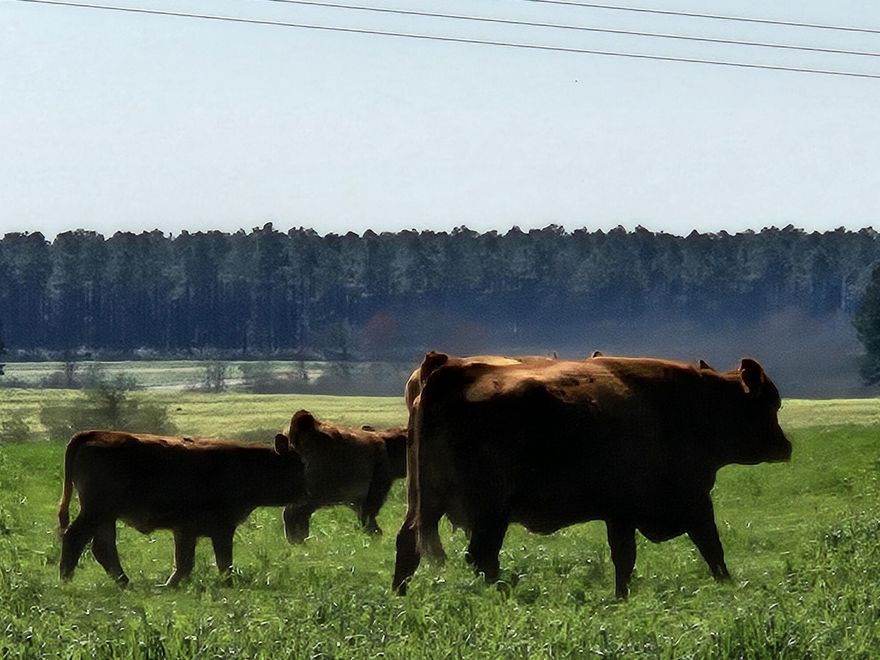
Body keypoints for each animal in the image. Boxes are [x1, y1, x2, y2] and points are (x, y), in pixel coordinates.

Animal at [57, 430, 306, 587]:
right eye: (298, 466)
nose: (305, 492)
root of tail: (93, 434)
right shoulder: (221, 528)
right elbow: (222, 560)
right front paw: (228, 583)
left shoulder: (186, 530)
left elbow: (185, 561)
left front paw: (170, 584)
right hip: (96, 512)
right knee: (75, 537)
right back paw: (66, 578)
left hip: (105, 517)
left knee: (102, 547)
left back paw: (124, 582)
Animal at [392, 354, 792, 598]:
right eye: (769, 403)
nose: (785, 446)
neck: (695, 405)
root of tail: (447, 372)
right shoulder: (693, 502)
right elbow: (711, 547)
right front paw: (728, 586)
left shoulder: (620, 515)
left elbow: (624, 559)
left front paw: (621, 597)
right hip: (490, 511)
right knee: (481, 556)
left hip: (425, 503)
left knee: (411, 545)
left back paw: (401, 596)